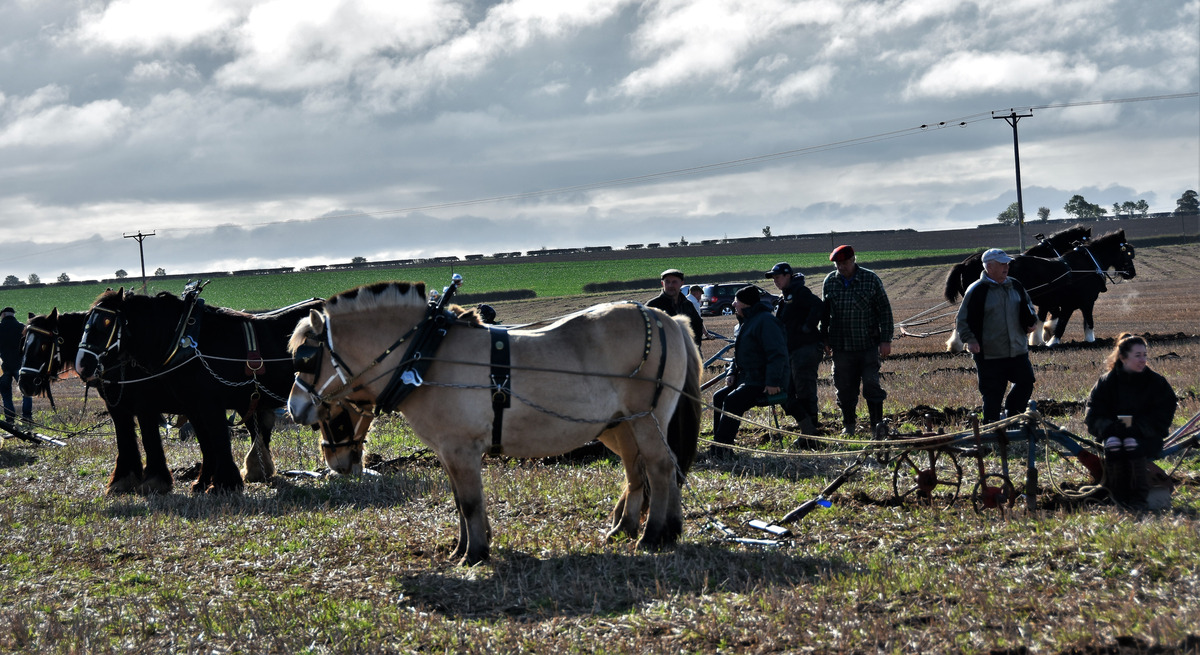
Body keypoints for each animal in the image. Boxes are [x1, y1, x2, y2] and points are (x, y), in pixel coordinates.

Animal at [18, 309, 175, 491]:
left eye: (43, 345)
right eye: (24, 345)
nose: (24, 384)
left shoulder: (144, 406)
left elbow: (149, 437)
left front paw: (156, 479)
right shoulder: (116, 406)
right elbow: (124, 435)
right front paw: (123, 478)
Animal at [78, 287, 326, 491]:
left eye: (107, 323)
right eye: (86, 322)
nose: (82, 364)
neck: (185, 341)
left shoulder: (209, 404)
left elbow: (218, 439)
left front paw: (225, 483)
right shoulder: (192, 407)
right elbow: (206, 443)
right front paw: (204, 480)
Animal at [288, 279, 700, 561]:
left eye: (305, 357)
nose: (293, 407)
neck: (426, 353)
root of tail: (666, 318)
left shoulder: (461, 448)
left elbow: (470, 501)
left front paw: (474, 554)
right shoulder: (449, 452)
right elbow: (460, 501)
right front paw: (463, 548)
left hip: (646, 418)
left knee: (660, 467)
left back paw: (653, 534)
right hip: (623, 425)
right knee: (642, 470)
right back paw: (641, 528)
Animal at [945, 225, 1132, 345]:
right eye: (1084, 239)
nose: (1131, 272)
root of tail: (964, 263)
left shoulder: (1047, 300)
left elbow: (1045, 316)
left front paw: (1041, 337)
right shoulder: (1052, 300)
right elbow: (1053, 316)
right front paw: (1045, 335)